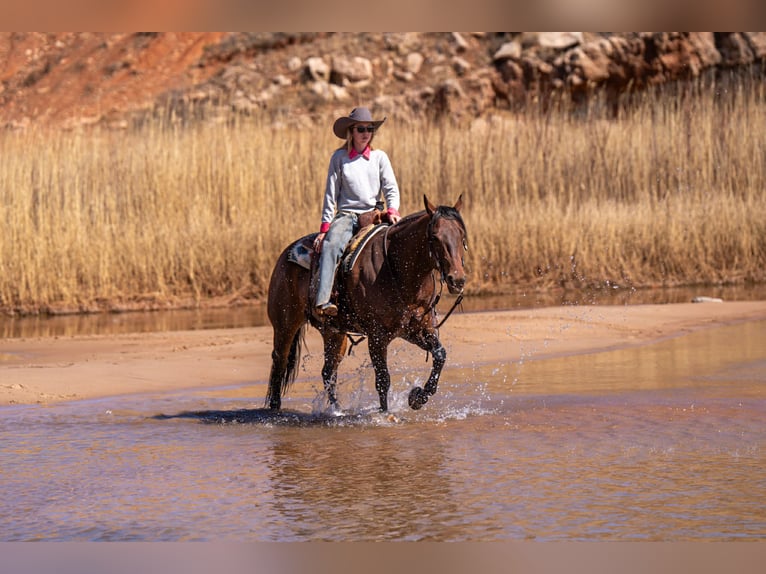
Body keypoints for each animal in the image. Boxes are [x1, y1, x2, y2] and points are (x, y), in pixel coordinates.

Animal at [265, 194, 468, 413]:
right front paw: (385, 413)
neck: (398, 270)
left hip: (334, 332)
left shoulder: (417, 329)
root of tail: (286, 253)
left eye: (462, 235)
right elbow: (383, 379)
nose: (457, 280)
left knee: (328, 372)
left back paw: (337, 410)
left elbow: (440, 355)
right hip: (285, 325)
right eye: (435, 237)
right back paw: (275, 409)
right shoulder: (377, 335)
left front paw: (417, 397)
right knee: (279, 363)